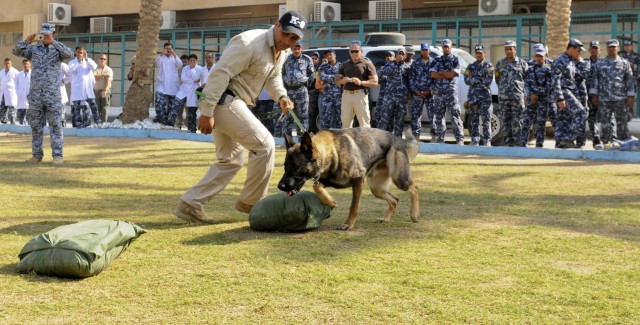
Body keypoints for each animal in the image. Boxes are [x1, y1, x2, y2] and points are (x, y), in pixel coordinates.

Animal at [276, 127, 420, 230]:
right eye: (285, 166)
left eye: (296, 166)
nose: (280, 186)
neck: (332, 152)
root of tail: (398, 138)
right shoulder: (326, 180)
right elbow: (316, 186)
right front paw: (331, 201)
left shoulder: (358, 180)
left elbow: (353, 206)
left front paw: (348, 225)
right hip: (377, 189)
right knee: (395, 199)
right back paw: (386, 219)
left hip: (399, 179)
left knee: (414, 187)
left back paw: (414, 214)